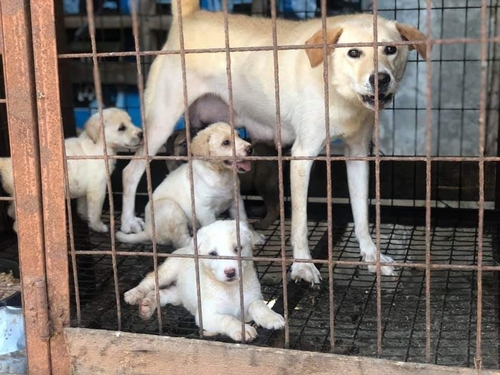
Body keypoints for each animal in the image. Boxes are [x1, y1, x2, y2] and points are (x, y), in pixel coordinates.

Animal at [0, 107, 143, 234]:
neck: (98, 146)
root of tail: (7, 163)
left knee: (10, 211)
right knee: (16, 224)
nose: (141, 133)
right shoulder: (97, 189)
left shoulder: (84, 190)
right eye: (122, 128)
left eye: (131, 122)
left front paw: (85, 217)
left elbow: (83, 207)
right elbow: (95, 211)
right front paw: (97, 226)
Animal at [116, 123, 264, 251]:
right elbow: (211, 225)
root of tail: (148, 231)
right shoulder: (205, 210)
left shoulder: (236, 200)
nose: (250, 148)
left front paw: (253, 236)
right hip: (169, 207)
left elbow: (244, 220)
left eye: (239, 135)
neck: (220, 175)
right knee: (180, 240)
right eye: (226, 142)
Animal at [124, 220, 286, 344]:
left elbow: (258, 305)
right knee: (150, 281)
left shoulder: (249, 303)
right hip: (168, 271)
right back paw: (134, 295)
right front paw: (242, 330)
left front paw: (272, 317)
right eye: (213, 254)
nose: (230, 272)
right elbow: (227, 318)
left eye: (238, 248)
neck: (230, 289)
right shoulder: (206, 315)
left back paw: (147, 306)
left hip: (179, 294)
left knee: (160, 293)